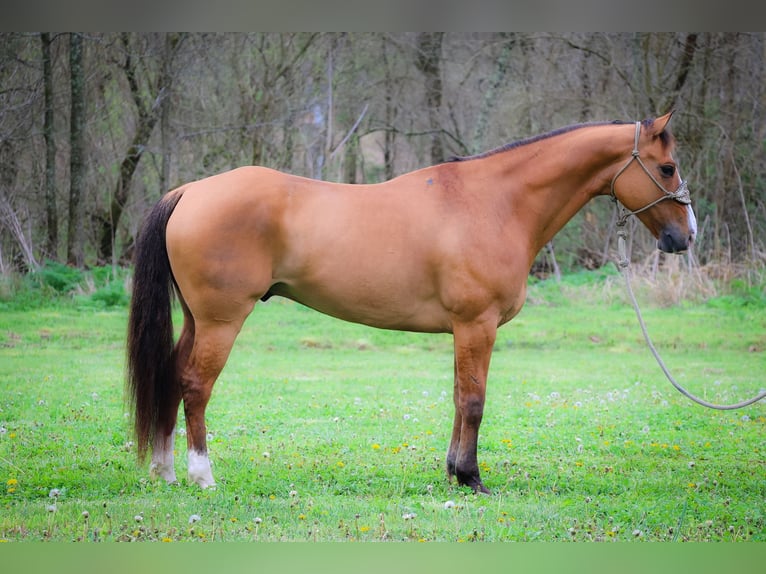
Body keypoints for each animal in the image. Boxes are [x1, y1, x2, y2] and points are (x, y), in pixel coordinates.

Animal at [124, 111, 696, 496]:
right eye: (667, 168)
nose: (685, 236)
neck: (494, 203)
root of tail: (190, 191)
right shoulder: (477, 325)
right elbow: (474, 401)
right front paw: (472, 478)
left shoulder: (463, 331)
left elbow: (458, 398)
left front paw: (453, 472)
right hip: (222, 319)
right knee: (196, 385)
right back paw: (201, 474)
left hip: (197, 318)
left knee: (171, 376)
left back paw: (165, 469)